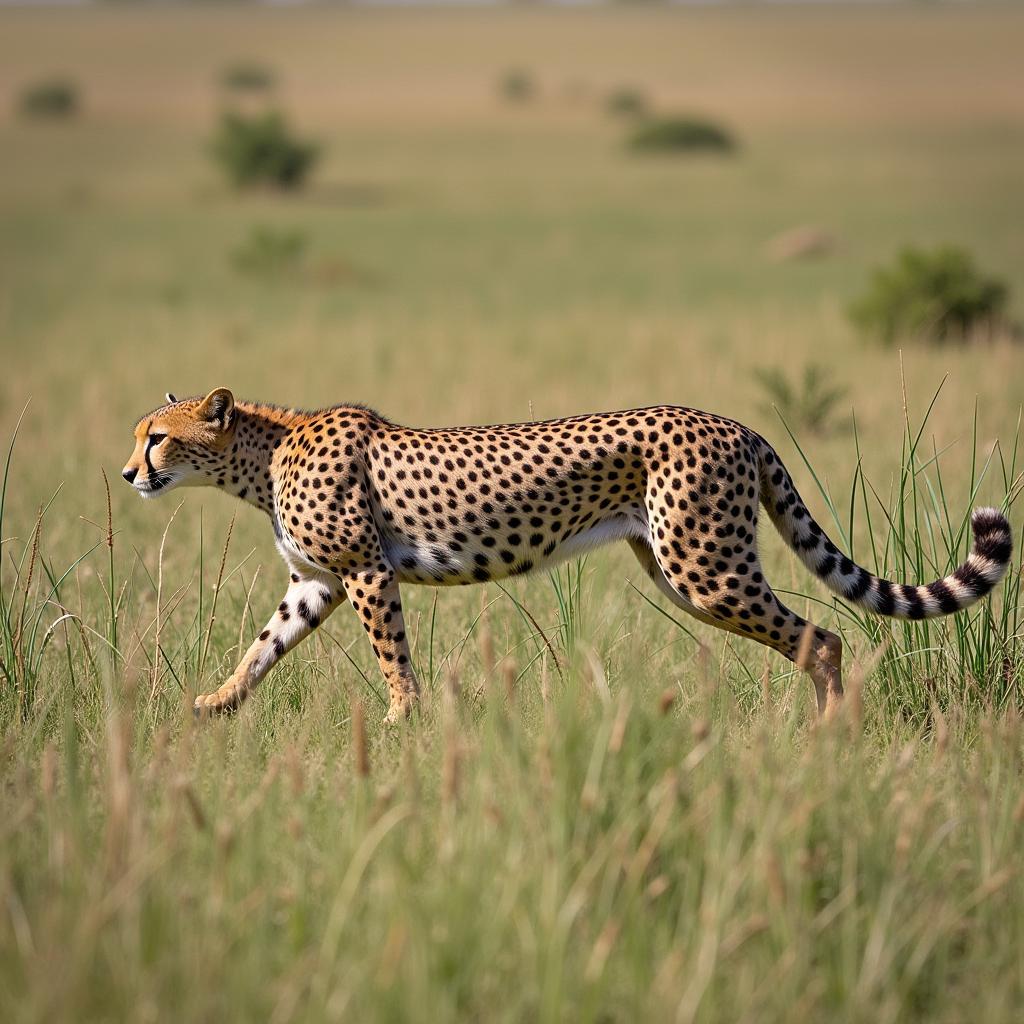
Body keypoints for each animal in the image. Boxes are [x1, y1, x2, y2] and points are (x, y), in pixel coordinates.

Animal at [123, 389, 1011, 720]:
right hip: (680, 565)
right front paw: (214, 706)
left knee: (821, 637)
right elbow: (261, 646)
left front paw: (403, 723)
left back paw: (830, 737)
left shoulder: (368, 572)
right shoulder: (316, 582)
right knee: (816, 635)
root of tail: (733, 421)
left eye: (157, 437)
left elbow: (393, 657)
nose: (129, 473)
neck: (262, 454)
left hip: (703, 567)